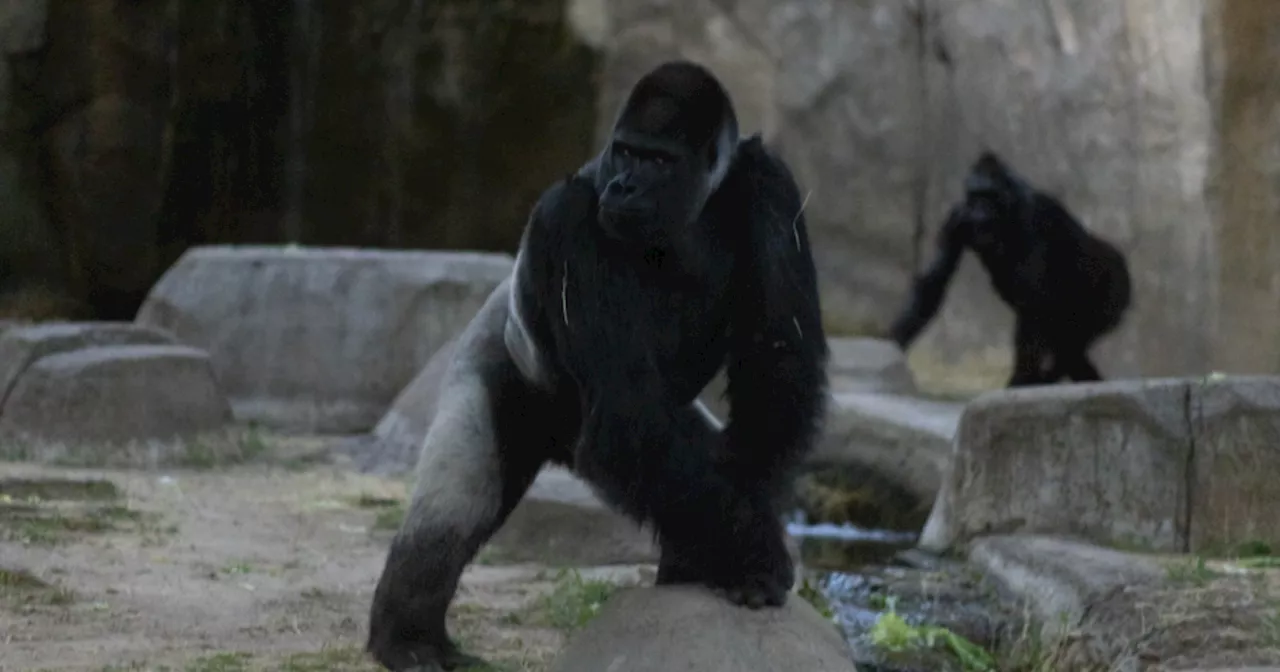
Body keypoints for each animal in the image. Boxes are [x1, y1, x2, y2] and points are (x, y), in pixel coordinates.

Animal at [366, 60, 834, 665]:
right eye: (626, 152)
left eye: (657, 160)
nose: (623, 186)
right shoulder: (565, 218)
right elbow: (631, 412)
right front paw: (755, 555)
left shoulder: (770, 182)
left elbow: (776, 369)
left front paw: (738, 547)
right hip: (495, 352)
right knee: (456, 505)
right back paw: (407, 637)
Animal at [890, 149, 1131, 384]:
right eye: (975, 195)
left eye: (989, 195)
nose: (980, 211)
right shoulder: (956, 216)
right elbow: (935, 279)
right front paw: (892, 344)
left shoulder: (1031, 213)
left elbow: (1031, 298)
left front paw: (1020, 379)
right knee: (1068, 348)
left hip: (1113, 291)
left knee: (1070, 344)